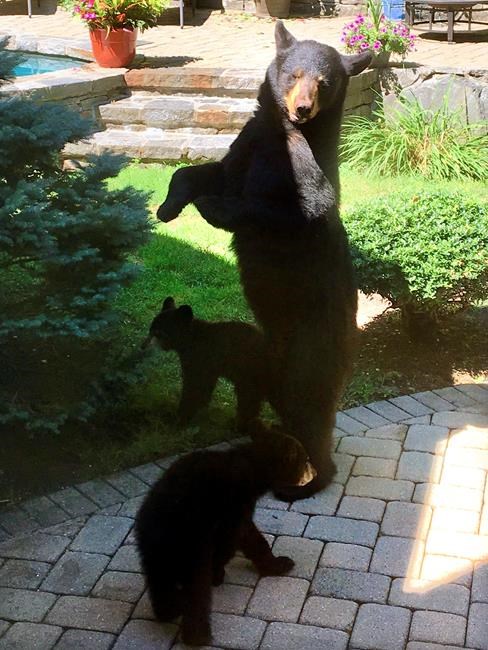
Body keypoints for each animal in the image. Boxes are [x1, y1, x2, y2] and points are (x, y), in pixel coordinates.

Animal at [135, 430, 316, 646]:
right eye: (305, 460)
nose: (315, 472)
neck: (254, 468)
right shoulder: (235, 505)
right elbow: (243, 536)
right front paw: (274, 563)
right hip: (193, 540)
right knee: (196, 587)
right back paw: (197, 634)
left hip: (151, 544)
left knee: (158, 579)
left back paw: (168, 610)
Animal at [142, 296, 280, 433]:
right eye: (151, 329)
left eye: (159, 332)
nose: (144, 346)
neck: (189, 340)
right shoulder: (208, 370)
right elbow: (205, 389)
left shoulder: (198, 362)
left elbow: (193, 389)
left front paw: (179, 419)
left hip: (249, 377)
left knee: (249, 401)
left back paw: (239, 426)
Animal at [157, 22, 372, 500]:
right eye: (293, 74)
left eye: (324, 82)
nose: (303, 109)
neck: (282, 132)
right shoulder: (246, 145)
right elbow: (203, 171)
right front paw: (168, 206)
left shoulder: (302, 171)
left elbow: (295, 207)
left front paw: (215, 209)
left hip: (309, 357)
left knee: (313, 419)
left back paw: (302, 483)